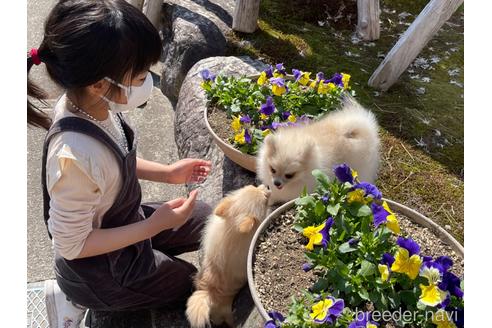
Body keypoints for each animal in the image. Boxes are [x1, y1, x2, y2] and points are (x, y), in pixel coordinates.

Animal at [185, 186, 270, 326]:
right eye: (265, 200)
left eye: (253, 186)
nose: (267, 186)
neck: (232, 229)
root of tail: (207, 293)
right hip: (225, 314)